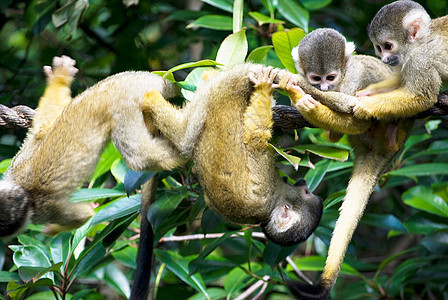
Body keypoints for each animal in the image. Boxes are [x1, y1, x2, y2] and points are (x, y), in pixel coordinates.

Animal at [0, 56, 186, 238]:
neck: (23, 190)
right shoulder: (15, 167)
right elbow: (41, 132)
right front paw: (59, 80)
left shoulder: (45, 209)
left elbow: (84, 216)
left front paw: (52, 230)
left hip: (126, 105)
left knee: (140, 156)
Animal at [142, 65, 324, 246]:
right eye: (307, 192)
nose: (302, 182)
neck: (271, 207)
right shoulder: (265, 185)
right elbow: (254, 138)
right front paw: (266, 89)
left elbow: (252, 137)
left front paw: (263, 89)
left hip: (213, 94)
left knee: (183, 139)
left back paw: (151, 100)